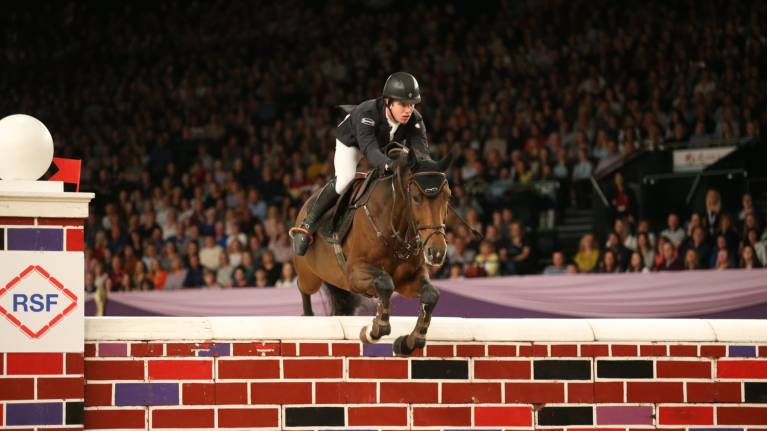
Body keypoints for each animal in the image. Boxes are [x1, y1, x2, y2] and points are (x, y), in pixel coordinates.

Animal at [292, 147, 453, 356]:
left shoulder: (407, 280)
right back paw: (308, 314)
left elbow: (431, 295)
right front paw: (374, 329)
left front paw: (409, 341)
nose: (437, 252)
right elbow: (385, 283)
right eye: (416, 197)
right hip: (310, 275)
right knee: (303, 287)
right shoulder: (355, 274)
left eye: (448, 197)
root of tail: (307, 202)